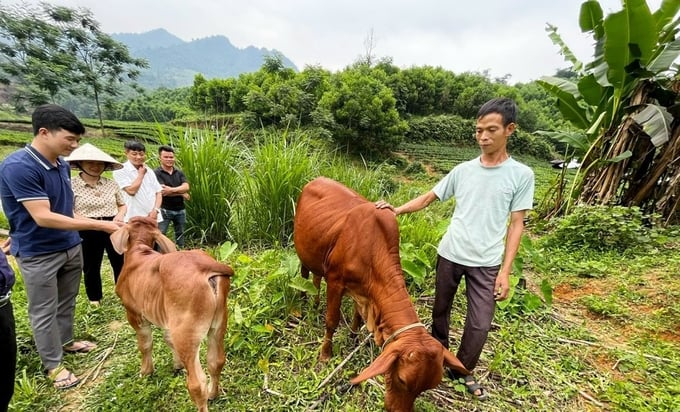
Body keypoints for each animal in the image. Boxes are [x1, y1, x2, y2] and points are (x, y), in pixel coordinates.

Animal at [292, 177, 468, 412]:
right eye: (402, 380)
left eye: (427, 387)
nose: (399, 411)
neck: (374, 249)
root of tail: (316, 180)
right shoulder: (336, 281)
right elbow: (332, 321)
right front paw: (325, 356)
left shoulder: (363, 292)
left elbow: (358, 316)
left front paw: (353, 338)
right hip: (304, 252)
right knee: (304, 275)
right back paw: (304, 304)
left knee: (316, 279)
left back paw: (315, 303)